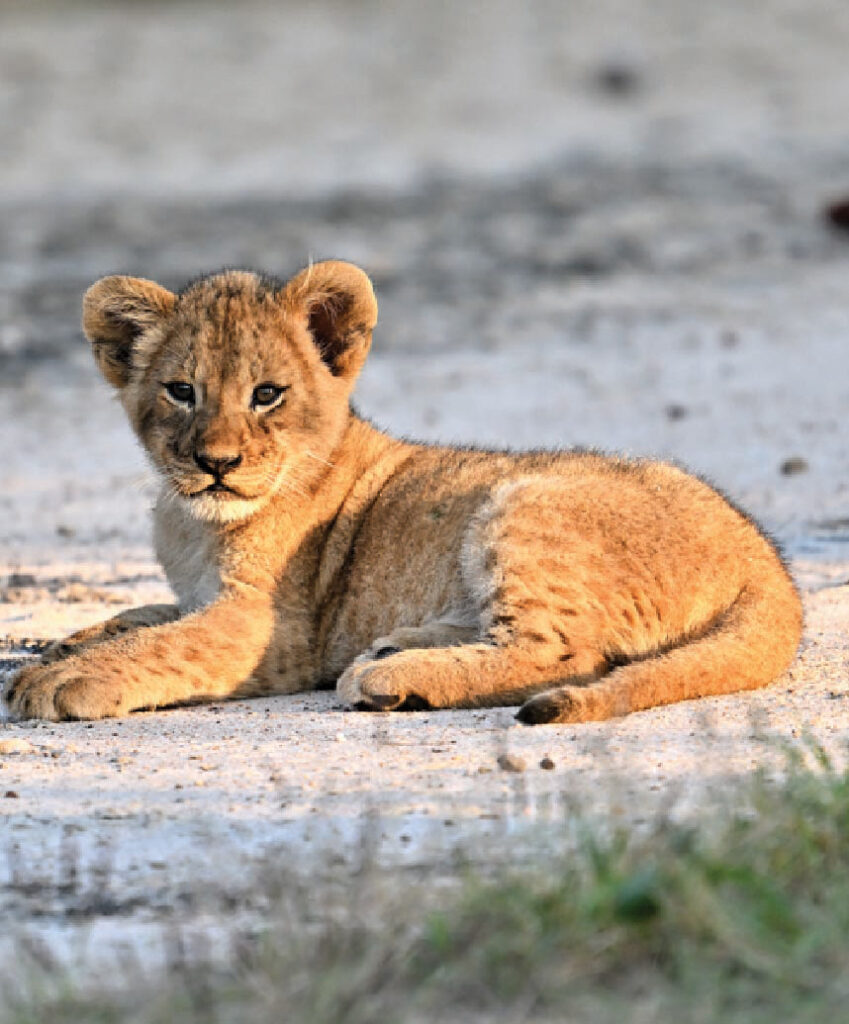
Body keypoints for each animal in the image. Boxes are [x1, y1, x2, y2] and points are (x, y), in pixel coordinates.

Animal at [6, 261, 802, 723]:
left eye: (267, 394)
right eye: (181, 392)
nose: (217, 463)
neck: (193, 521)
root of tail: (765, 562)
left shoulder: (272, 629)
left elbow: (167, 643)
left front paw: (62, 679)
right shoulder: (201, 593)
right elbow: (143, 616)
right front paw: (65, 645)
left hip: (524, 504)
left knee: (566, 653)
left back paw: (391, 678)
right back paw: (397, 649)